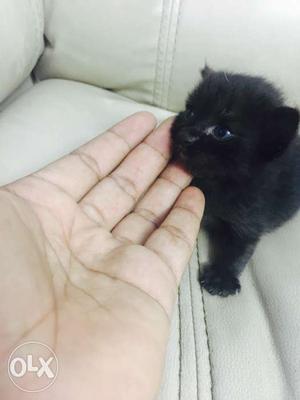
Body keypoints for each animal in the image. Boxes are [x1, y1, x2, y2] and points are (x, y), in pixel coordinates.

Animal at [171, 66, 300, 296]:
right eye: (191, 112)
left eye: (221, 132)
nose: (185, 135)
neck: (217, 181)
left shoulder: (249, 220)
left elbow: (238, 249)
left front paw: (221, 278)